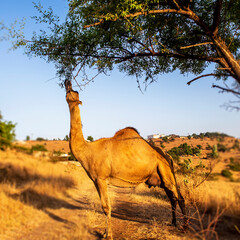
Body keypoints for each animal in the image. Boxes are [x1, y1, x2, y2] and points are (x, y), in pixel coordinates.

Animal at [65, 79, 188, 239]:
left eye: (73, 91)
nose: (67, 81)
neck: (87, 150)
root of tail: (168, 156)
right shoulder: (95, 180)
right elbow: (103, 206)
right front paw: (104, 233)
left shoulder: (101, 178)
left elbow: (106, 207)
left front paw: (109, 235)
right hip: (162, 176)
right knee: (172, 198)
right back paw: (173, 223)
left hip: (165, 171)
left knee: (179, 198)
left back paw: (185, 227)